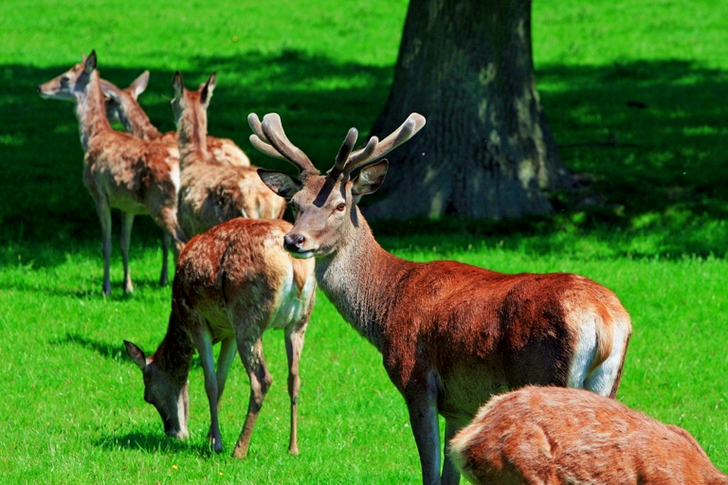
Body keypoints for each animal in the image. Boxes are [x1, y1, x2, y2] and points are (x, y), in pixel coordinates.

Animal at [38, 51, 186, 295]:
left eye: (66, 77)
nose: (41, 87)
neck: (94, 138)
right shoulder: (128, 204)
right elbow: (124, 242)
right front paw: (128, 287)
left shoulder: (98, 195)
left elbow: (106, 243)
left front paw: (106, 287)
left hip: (162, 202)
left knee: (180, 241)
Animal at [124, 217, 316, 458]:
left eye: (147, 396)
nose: (172, 432)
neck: (178, 317)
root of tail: (295, 266)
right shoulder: (230, 332)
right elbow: (222, 380)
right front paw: (211, 437)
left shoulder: (196, 320)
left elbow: (211, 383)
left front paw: (216, 444)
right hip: (299, 321)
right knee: (294, 378)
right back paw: (293, 447)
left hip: (247, 317)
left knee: (261, 379)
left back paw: (239, 449)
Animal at [248, 112, 633, 485]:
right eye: (294, 203)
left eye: (340, 205)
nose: (294, 240)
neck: (386, 308)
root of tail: (604, 320)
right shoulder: (460, 405)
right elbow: (449, 476)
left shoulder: (417, 380)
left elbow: (430, 473)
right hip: (606, 383)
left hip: (545, 373)